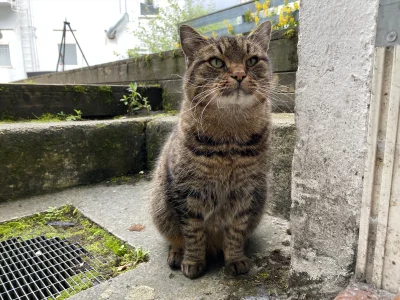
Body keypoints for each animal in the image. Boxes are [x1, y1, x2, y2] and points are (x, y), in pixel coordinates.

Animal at [149, 21, 272, 278]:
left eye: (252, 60)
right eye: (216, 62)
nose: (239, 74)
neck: (229, 139)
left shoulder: (246, 192)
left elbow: (236, 231)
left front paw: (235, 259)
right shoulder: (187, 192)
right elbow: (193, 233)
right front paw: (193, 262)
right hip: (160, 205)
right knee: (175, 238)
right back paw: (177, 254)